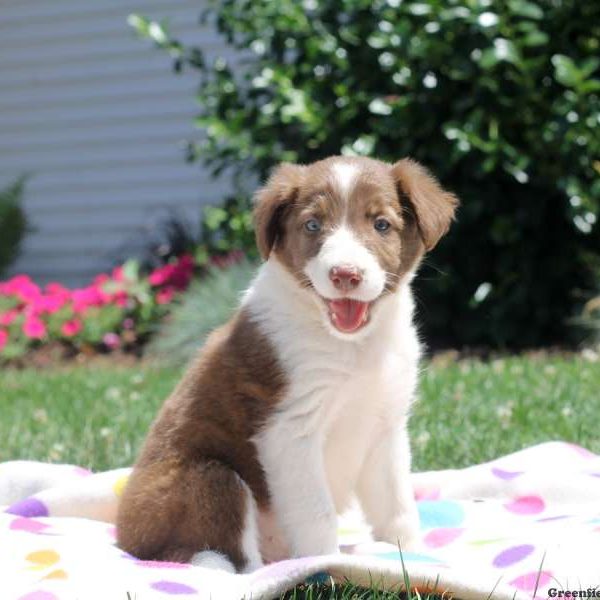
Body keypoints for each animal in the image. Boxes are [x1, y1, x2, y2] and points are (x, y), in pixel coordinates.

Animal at [116, 155, 454, 572]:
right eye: (312, 225)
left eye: (381, 224)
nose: (345, 275)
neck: (353, 346)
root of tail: (126, 540)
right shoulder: (290, 428)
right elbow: (316, 510)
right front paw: (327, 563)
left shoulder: (385, 425)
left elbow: (397, 502)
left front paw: (409, 552)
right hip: (209, 478)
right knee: (219, 558)